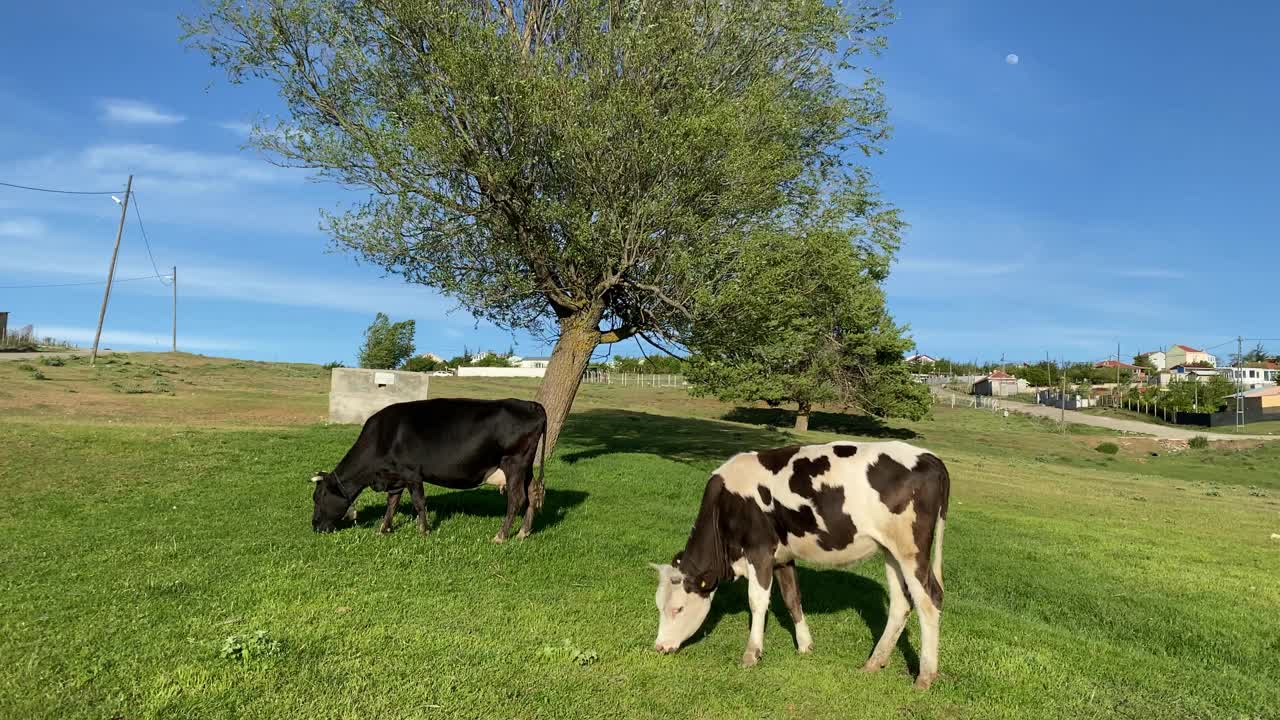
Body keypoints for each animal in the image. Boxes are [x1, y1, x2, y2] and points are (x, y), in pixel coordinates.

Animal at [314, 394, 550, 540]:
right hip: (526, 466)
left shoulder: (412, 473)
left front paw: (424, 531)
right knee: (532, 493)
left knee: (517, 498)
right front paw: (383, 529)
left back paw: (501, 536)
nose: (315, 526)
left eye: (319, 497)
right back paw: (523, 533)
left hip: (514, 462)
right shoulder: (395, 476)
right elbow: (392, 504)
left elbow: (419, 503)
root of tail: (531, 404)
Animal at [650, 440, 952, 686]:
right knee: (901, 604)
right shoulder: (782, 558)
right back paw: (873, 663)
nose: (659, 647)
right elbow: (792, 597)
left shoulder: (759, 550)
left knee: (929, 600)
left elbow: (757, 601)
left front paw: (751, 653)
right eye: (659, 606)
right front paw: (806, 645)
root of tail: (930, 457)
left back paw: (925, 676)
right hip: (891, 551)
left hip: (911, 550)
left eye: (678, 608)